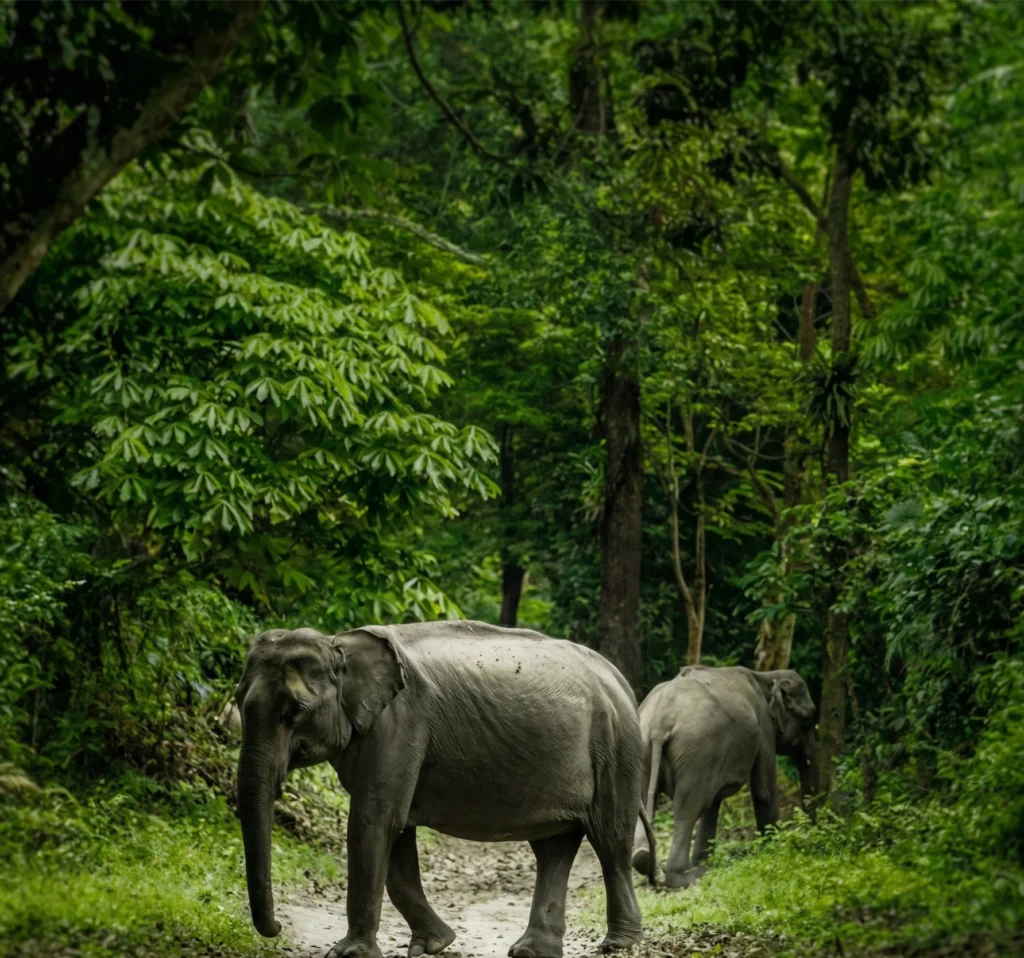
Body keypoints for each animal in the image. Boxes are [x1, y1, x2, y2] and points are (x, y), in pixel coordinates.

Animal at [234, 620, 657, 958]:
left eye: (296, 712)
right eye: (237, 701)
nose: (278, 929)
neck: (339, 641)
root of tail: (619, 679)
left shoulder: (399, 725)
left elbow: (373, 822)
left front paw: (349, 954)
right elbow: (395, 831)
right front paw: (434, 944)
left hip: (616, 748)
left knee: (610, 843)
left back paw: (617, 945)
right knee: (554, 849)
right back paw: (531, 951)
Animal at [630, 665, 817, 888]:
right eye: (809, 719)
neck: (766, 677)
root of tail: (660, 721)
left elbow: (714, 803)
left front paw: (703, 865)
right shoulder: (764, 728)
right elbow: (764, 791)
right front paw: (776, 849)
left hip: (644, 748)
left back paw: (643, 860)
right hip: (697, 750)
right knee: (688, 808)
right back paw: (684, 878)